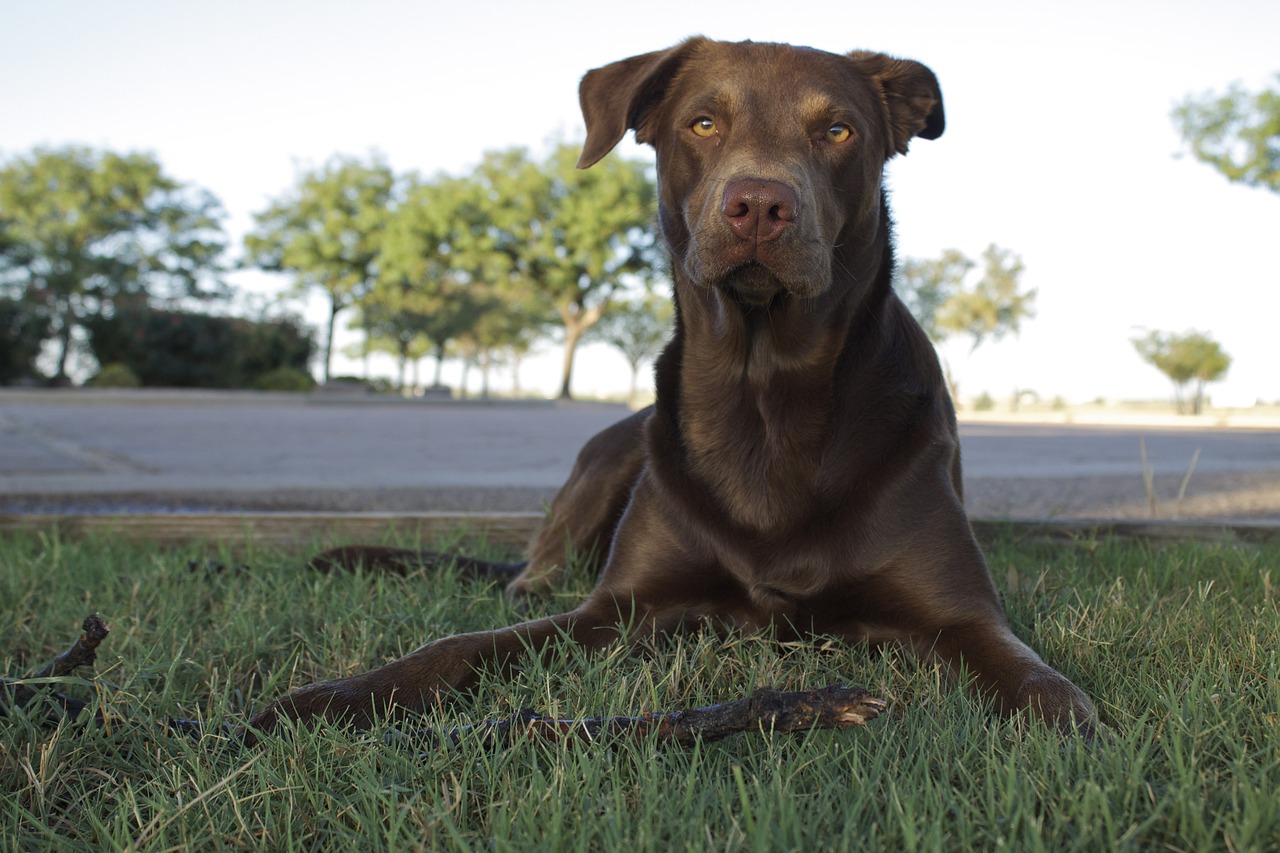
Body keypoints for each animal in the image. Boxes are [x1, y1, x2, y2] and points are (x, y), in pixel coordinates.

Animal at [252, 36, 1100, 732]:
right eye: (702, 123)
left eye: (838, 131)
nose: (760, 205)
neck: (764, 389)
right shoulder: (616, 609)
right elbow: (458, 646)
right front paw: (335, 697)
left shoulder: (963, 616)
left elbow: (1043, 688)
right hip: (607, 466)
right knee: (527, 582)